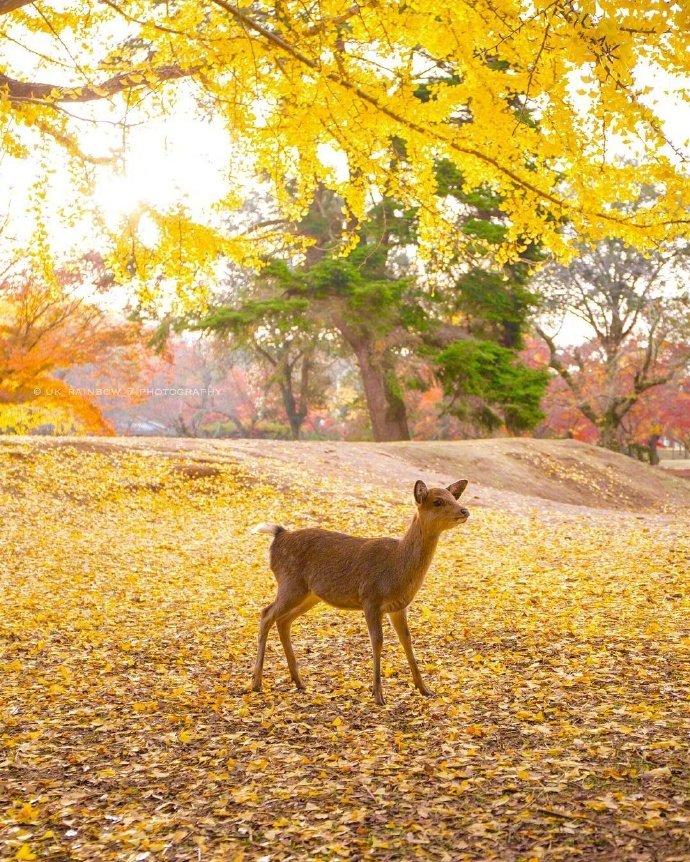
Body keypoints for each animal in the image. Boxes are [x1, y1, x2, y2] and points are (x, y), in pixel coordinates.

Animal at [251, 478, 470, 704]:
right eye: (437, 501)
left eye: (454, 497)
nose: (465, 511)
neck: (397, 567)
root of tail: (278, 536)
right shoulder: (370, 598)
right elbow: (378, 641)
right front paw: (378, 695)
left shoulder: (398, 607)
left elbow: (407, 640)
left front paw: (424, 688)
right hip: (290, 583)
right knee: (266, 614)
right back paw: (256, 683)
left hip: (310, 595)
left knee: (283, 620)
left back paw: (299, 681)